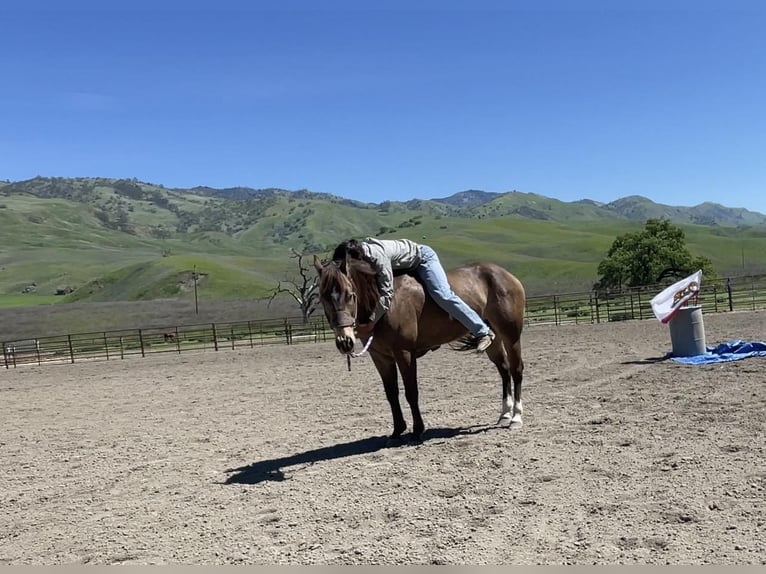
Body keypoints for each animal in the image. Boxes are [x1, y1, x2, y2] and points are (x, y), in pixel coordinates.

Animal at [314, 255, 528, 440]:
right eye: (323, 297)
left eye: (350, 295)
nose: (344, 342)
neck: (385, 304)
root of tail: (506, 275)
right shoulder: (381, 357)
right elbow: (391, 394)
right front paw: (397, 431)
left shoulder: (404, 353)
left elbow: (411, 392)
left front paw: (417, 430)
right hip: (495, 340)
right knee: (504, 371)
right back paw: (504, 415)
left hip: (511, 336)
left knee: (516, 370)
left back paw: (516, 418)